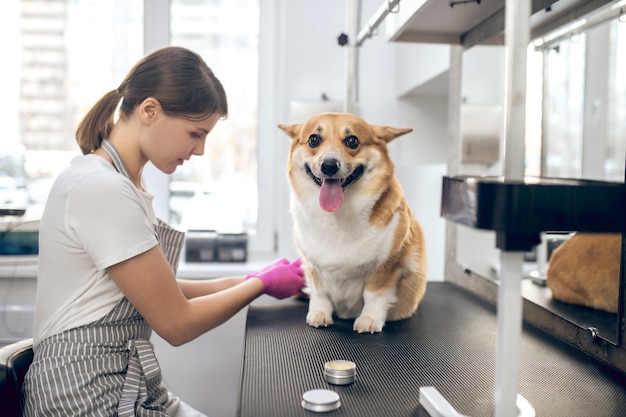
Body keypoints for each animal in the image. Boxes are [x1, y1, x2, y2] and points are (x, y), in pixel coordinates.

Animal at [276, 112, 426, 334]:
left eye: (352, 141)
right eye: (313, 139)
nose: (329, 166)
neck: (337, 216)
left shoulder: (387, 265)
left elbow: (373, 295)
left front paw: (369, 319)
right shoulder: (312, 266)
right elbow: (320, 293)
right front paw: (319, 314)